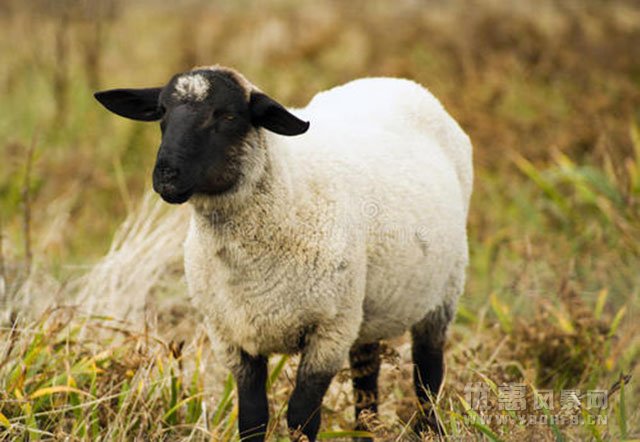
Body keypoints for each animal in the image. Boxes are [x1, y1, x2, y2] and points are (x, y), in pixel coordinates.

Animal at [96, 64, 476, 440]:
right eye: (162, 112)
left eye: (228, 115)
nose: (167, 177)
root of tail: (395, 81)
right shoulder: (231, 337)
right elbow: (252, 418)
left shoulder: (329, 332)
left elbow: (301, 418)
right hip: (365, 308)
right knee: (366, 376)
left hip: (441, 293)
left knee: (427, 375)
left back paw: (429, 428)